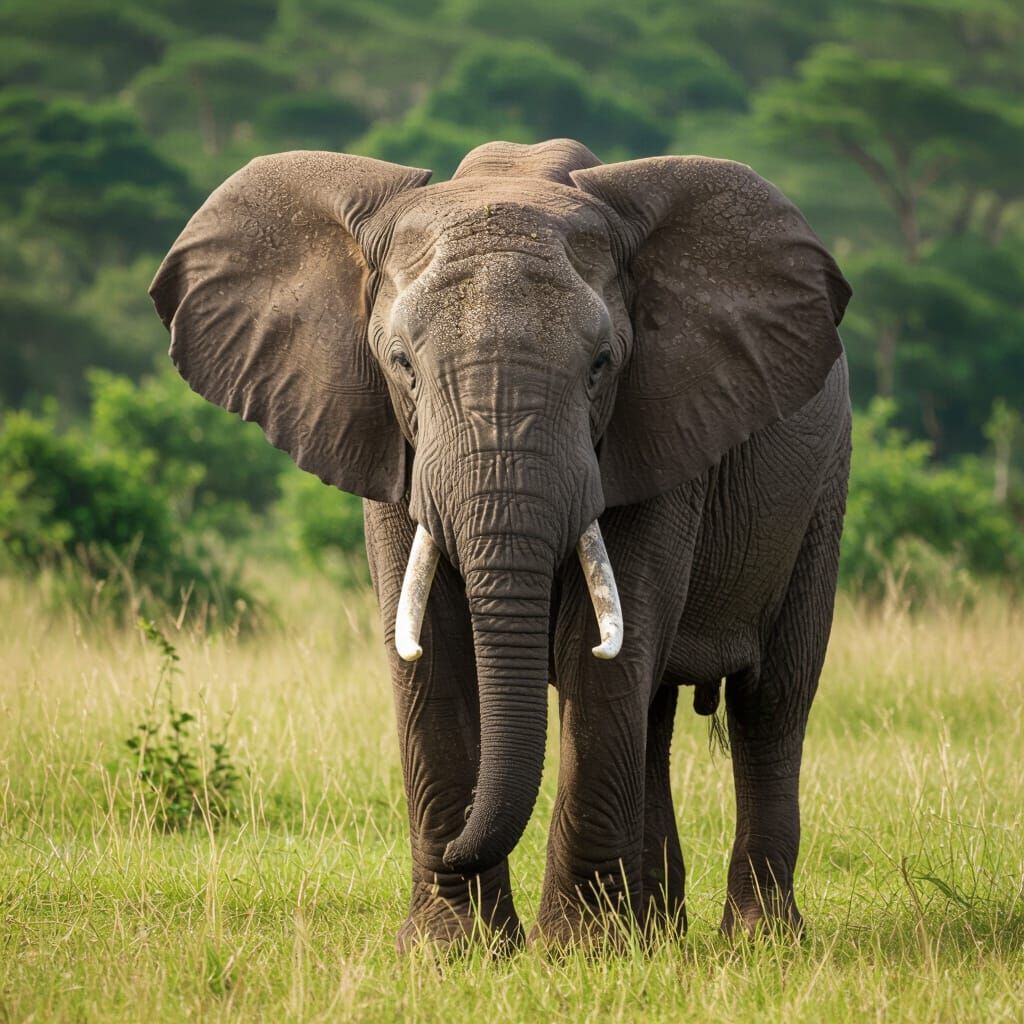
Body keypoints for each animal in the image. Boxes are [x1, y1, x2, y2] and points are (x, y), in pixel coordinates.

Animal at [151, 138, 852, 951]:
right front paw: (451, 950)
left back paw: (759, 941)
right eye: (401, 364)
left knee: (770, 701)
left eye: (601, 365)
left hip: (824, 487)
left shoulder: (658, 424)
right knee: (657, 713)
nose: (456, 847)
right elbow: (432, 648)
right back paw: (658, 935)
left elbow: (598, 652)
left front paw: (579, 953)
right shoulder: (390, 444)